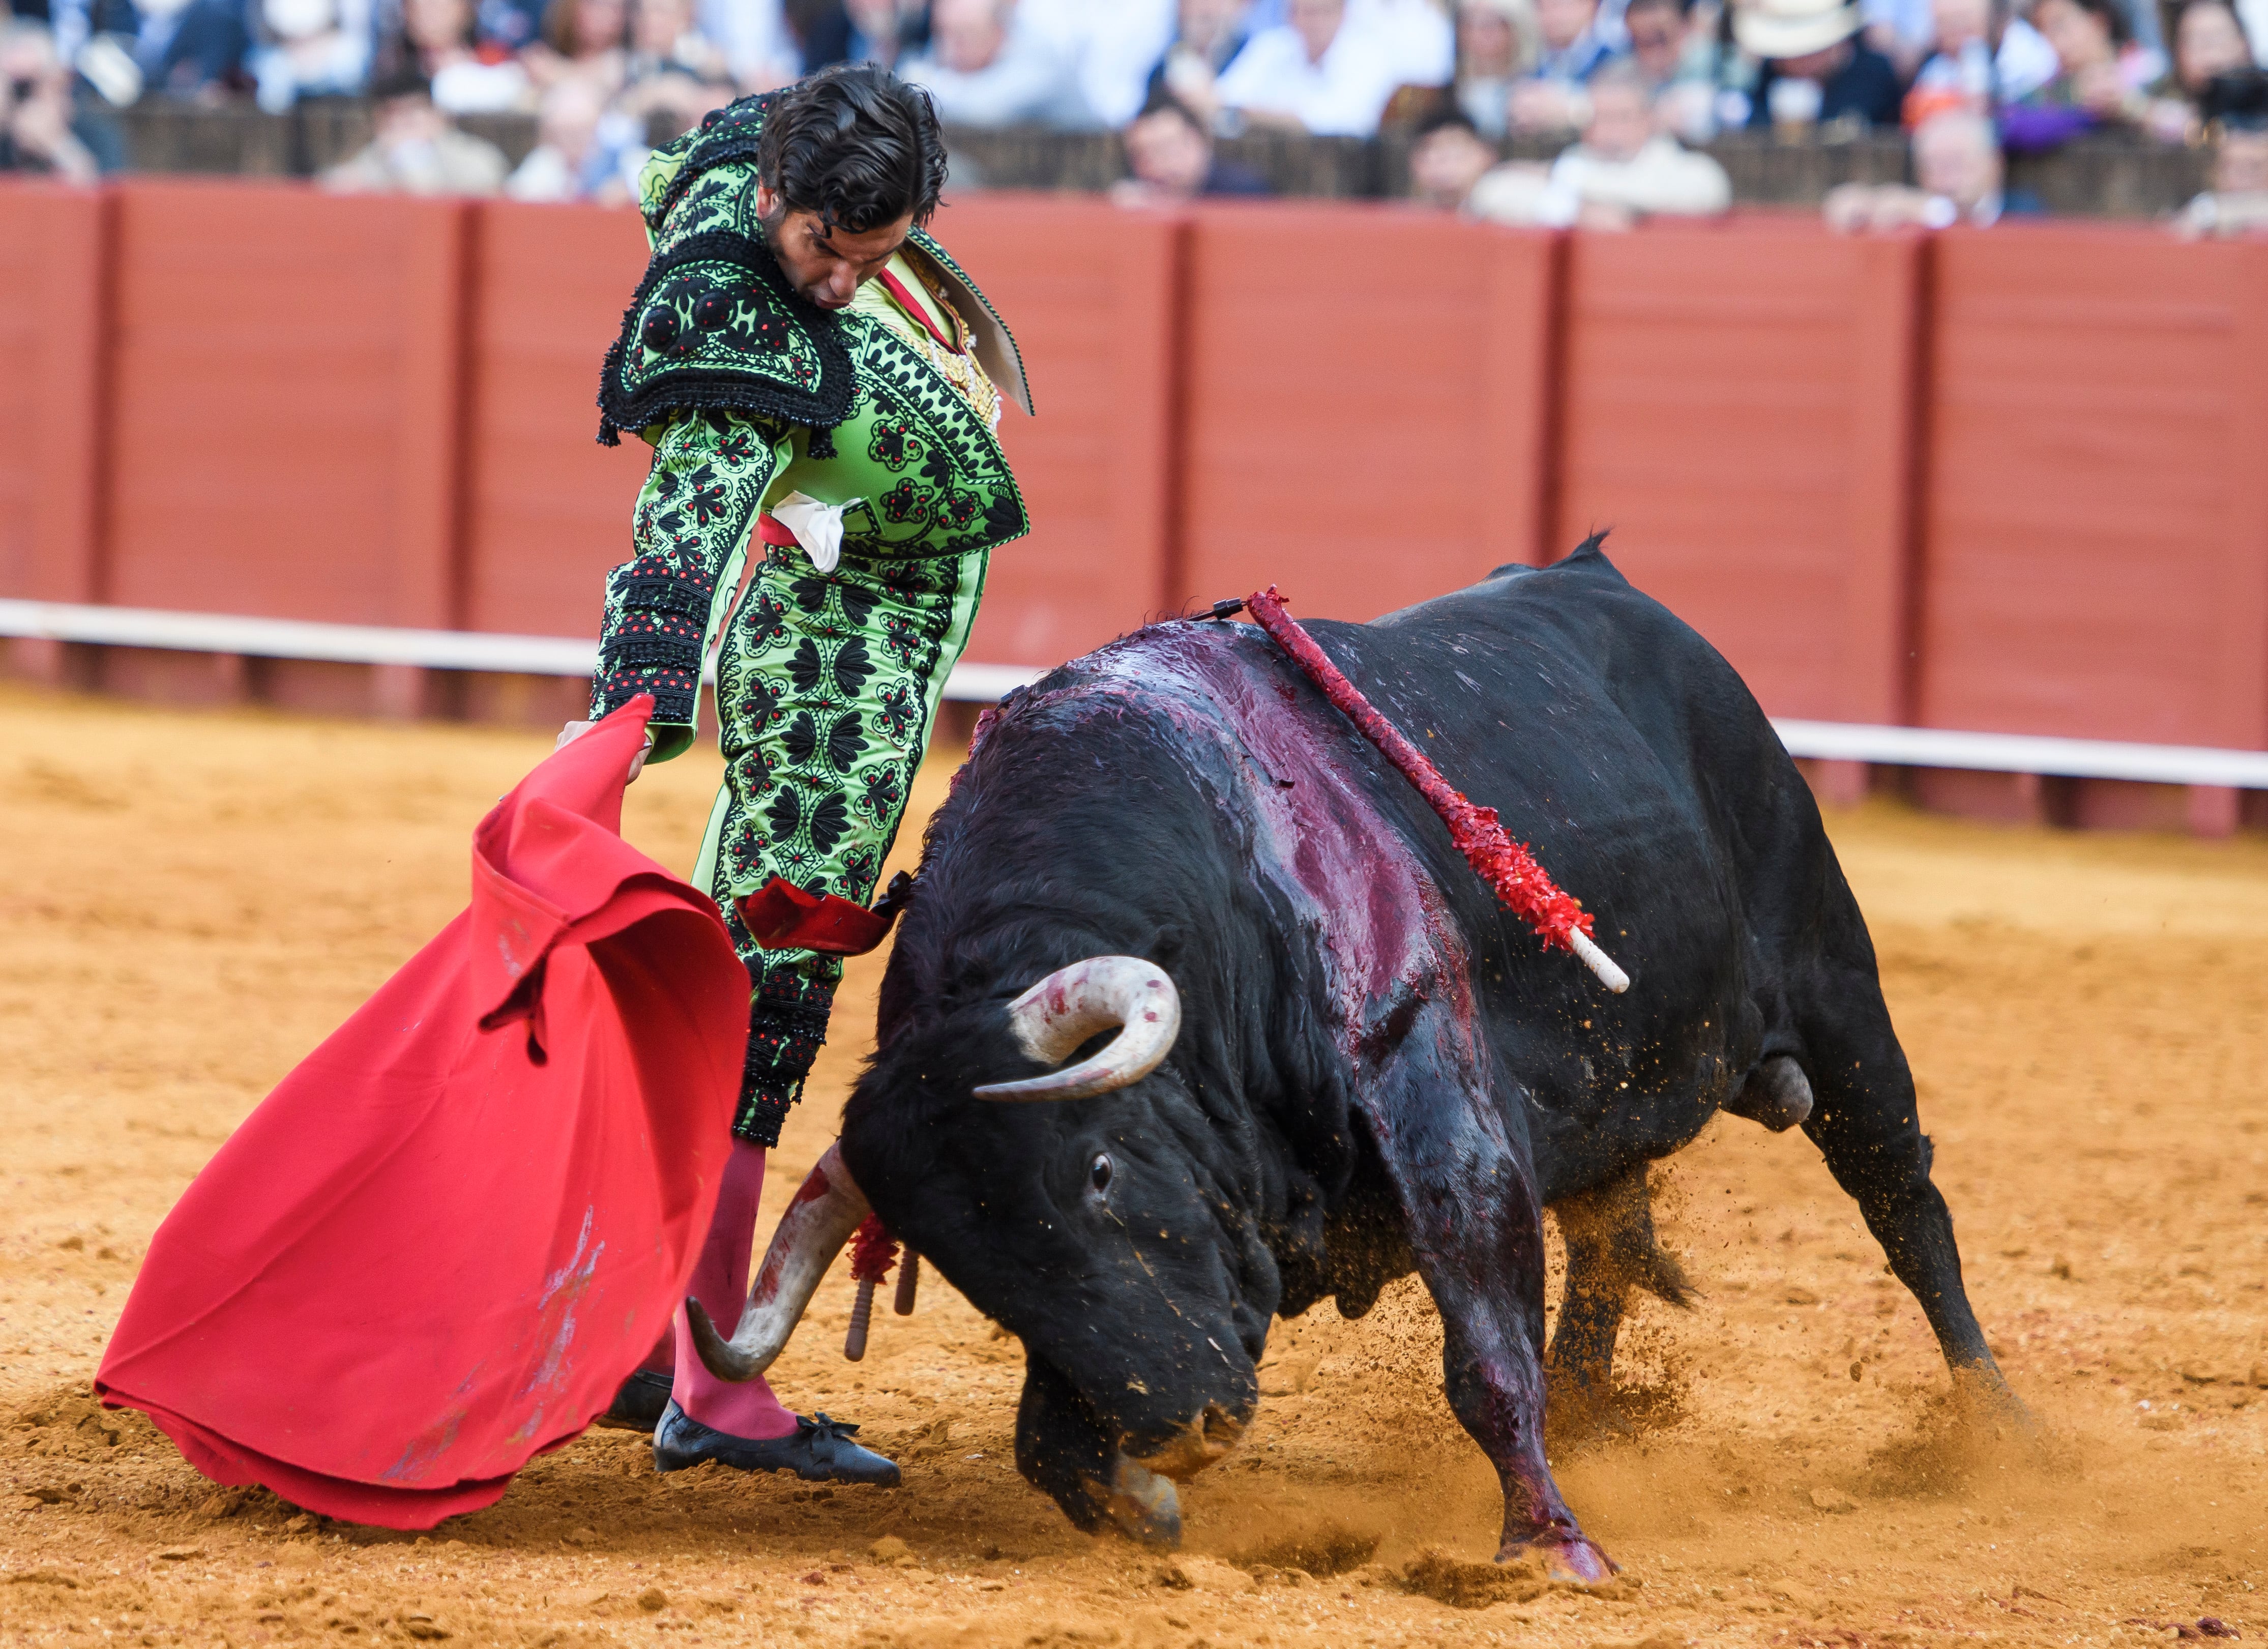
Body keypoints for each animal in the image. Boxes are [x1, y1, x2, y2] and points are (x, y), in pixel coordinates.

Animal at [689, 542, 2023, 1569]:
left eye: (1101, 1172)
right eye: (967, 1266)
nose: (1180, 1423)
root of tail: (1611, 582)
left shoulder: (1444, 1112)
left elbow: (1483, 1354)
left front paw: (1549, 1547)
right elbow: (1046, 1441)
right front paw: (1143, 1498)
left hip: (1841, 1000)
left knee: (1907, 1210)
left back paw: (2003, 1433)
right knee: (1608, 1240)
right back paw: (1593, 1418)